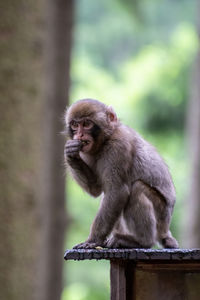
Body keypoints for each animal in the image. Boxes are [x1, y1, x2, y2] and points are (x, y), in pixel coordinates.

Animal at [63, 98, 178, 248]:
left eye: (86, 124)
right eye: (75, 125)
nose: (79, 134)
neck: (106, 139)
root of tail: (165, 230)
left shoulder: (118, 146)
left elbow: (117, 191)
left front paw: (93, 240)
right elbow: (96, 189)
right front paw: (71, 154)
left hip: (161, 214)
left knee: (137, 189)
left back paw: (142, 241)